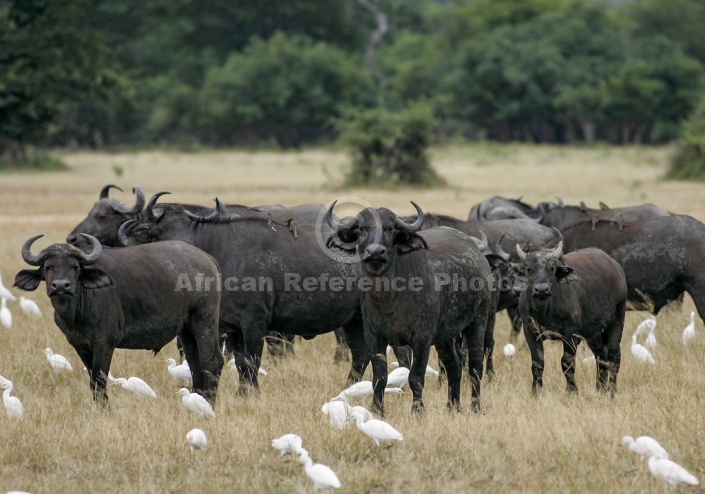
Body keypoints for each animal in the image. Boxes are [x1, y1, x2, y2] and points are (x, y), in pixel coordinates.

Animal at [14, 234, 223, 402]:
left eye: (75, 267)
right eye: (48, 267)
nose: (60, 286)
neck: (77, 312)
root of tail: (208, 259)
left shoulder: (105, 343)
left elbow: (99, 380)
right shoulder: (79, 345)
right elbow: (92, 380)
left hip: (204, 321)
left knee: (212, 362)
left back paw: (209, 404)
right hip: (186, 330)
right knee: (196, 366)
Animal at [324, 201, 490, 412]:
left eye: (390, 228)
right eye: (361, 228)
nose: (375, 252)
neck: (389, 297)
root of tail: (479, 256)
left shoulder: (422, 339)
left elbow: (416, 377)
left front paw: (417, 411)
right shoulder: (374, 338)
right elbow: (379, 378)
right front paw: (377, 410)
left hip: (478, 321)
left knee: (475, 366)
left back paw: (475, 407)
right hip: (446, 335)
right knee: (454, 365)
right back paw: (452, 407)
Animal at [508, 241, 624, 396]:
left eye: (551, 268)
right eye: (528, 268)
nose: (541, 289)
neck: (545, 310)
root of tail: (616, 266)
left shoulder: (570, 334)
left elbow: (567, 362)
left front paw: (572, 390)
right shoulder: (530, 332)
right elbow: (537, 363)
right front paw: (535, 392)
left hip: (617, 319)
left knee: (614, 355)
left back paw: (612, 390)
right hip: (593, 333)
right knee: (601, 355)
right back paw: (599, 387)